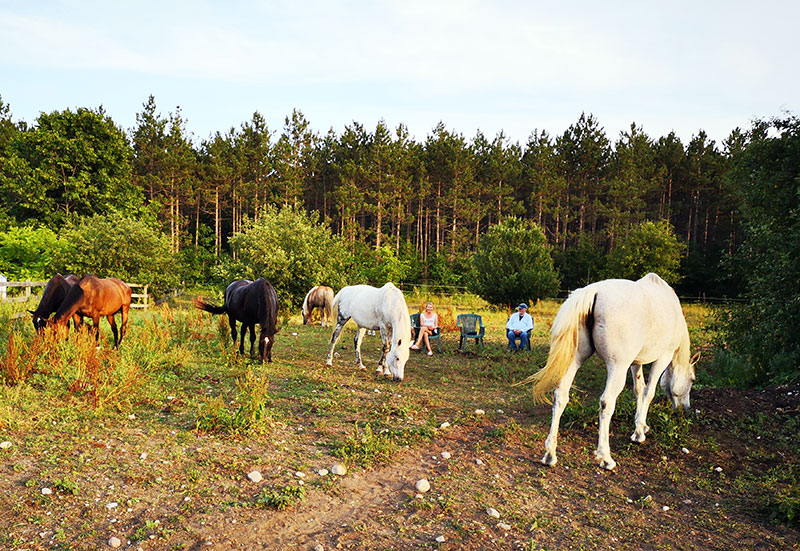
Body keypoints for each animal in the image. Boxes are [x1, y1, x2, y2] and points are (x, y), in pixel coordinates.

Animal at [520, 274, 696, 472]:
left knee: (560, 396)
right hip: (617, 367)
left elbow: (638, 389)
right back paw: (605, 458)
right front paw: (639, 433)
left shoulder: (635, 362)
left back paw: (550, 454)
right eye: (692, 380)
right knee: (606, 402)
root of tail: (593, 291)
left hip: (575, 360)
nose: (685, 409)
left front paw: (640, 425)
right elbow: (648, 392)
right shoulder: (662, 358)